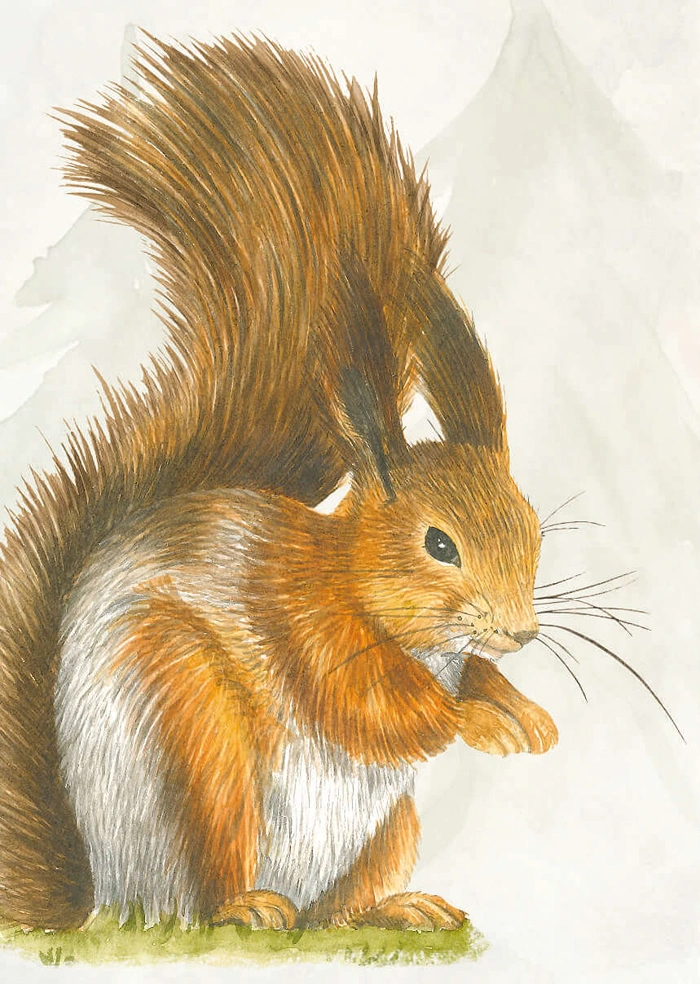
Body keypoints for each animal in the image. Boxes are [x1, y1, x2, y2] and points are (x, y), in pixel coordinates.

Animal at [0, 34, 558, 933]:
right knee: (204, 893)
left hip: (386, 829)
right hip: (195, 749)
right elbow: (377, 711)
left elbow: (467, 676)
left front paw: (520, 707)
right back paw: (245, 909)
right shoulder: (308, 633)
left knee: (335, 914)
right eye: (439, 543)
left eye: (534, 529)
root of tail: (107, 895)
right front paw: (474, 717)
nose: (521, 632)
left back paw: (396, 909)